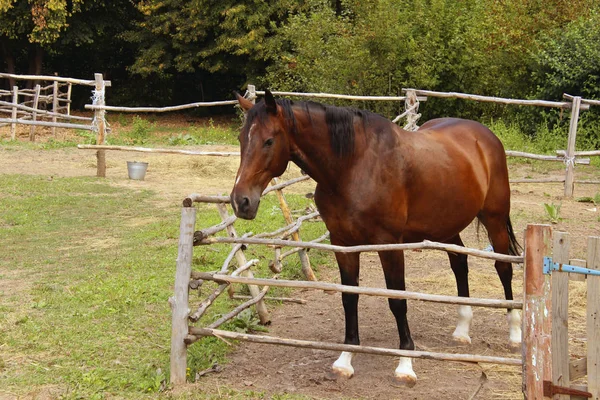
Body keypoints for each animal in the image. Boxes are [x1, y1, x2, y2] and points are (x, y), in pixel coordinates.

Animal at [232, 90, 524, 384]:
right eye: (241, 139)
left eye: (269, 140)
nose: (241, 201)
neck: (353, 167)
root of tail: (484, 136)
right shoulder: (343, 244)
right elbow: (349, 298)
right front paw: (345, 359)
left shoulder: (390, 245)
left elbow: (397, 300)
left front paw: (405, 363)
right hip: (447, 225)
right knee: (459, 264)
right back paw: (462, 330)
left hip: (495, 221)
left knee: (503, 267)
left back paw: (515, 334)